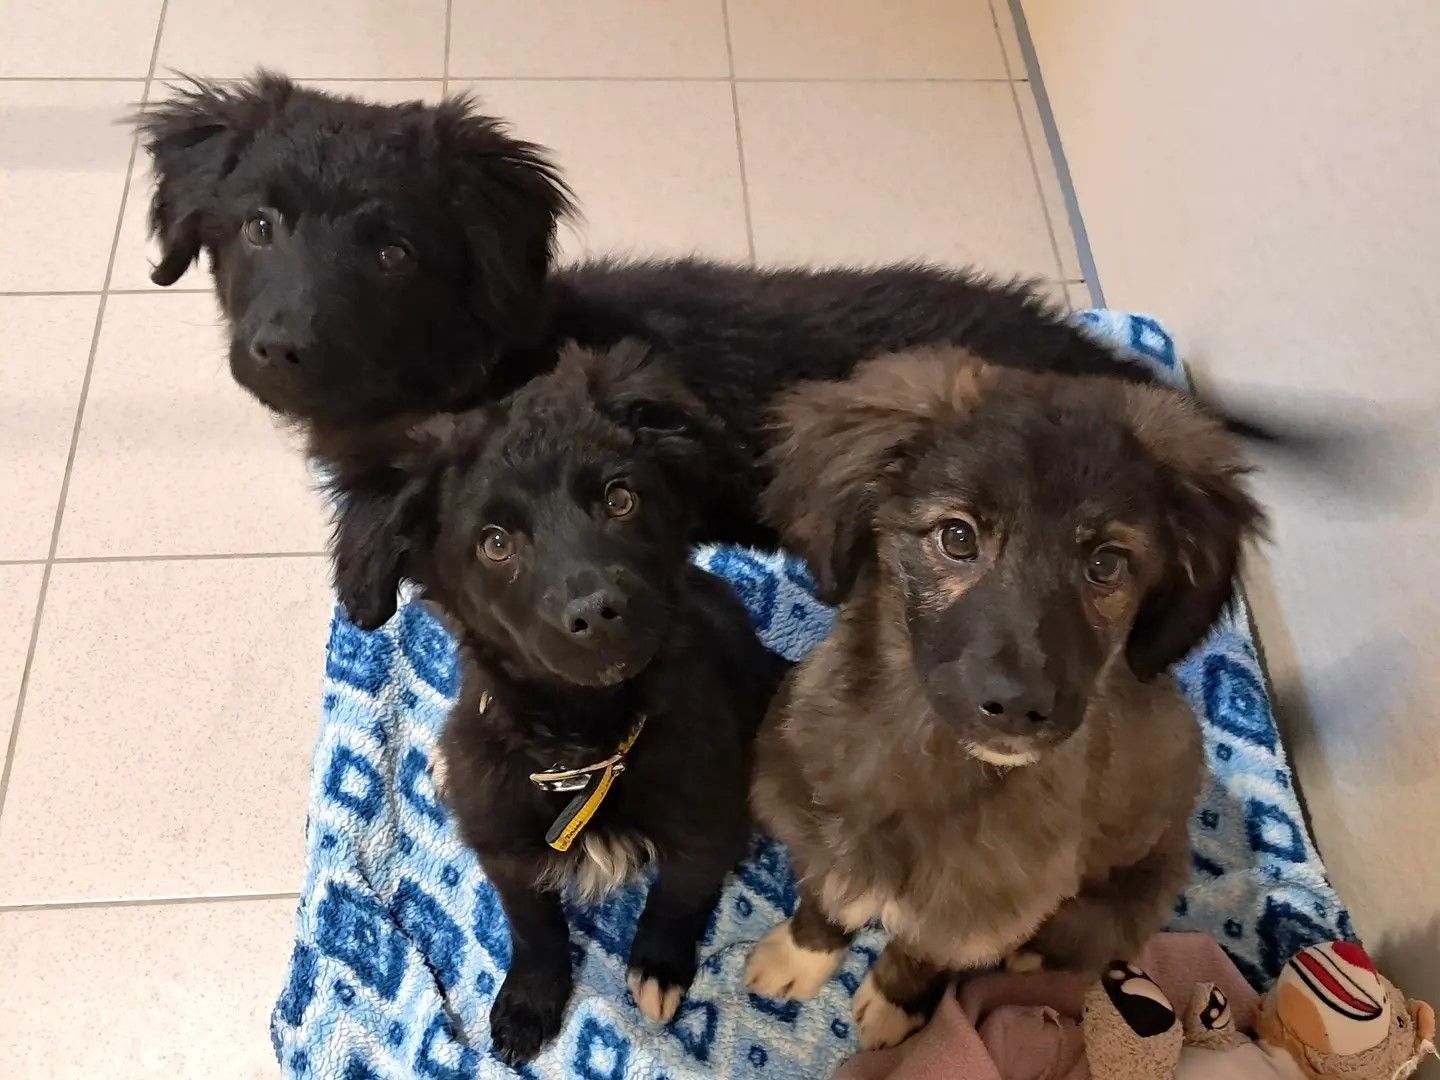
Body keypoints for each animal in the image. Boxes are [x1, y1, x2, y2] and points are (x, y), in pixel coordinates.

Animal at [329, 347, 789, 1065]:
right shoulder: (501, 838)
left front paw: (659, 965)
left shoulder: (706, 815)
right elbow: (533, 925)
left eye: (620, 499)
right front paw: (529, 1002)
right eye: (495, 543)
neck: (587, 744)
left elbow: (680, 897)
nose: (597, 612)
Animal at [743, 351, 1261, 1054]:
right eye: (958, 538)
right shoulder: (825, 814)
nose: (1019, 708)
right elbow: (827, 896)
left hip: (1116, 904)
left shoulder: (985, 902)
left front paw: (894, 1008)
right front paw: (802, 956)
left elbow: (920, 951)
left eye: (1106, 564)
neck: (928, 751)